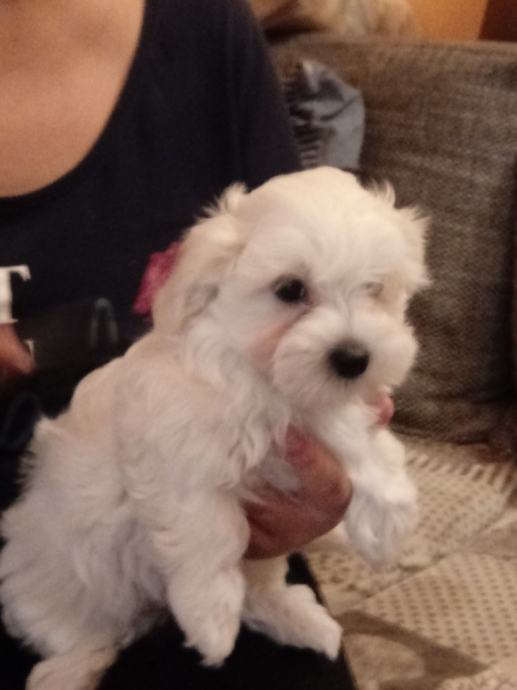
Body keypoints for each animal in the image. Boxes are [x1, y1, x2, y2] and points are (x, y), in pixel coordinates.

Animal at [0, 167, 427, 690]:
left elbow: (371, 454)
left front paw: (387, 528)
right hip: (58, 577)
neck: (268, 381)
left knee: (261, 590)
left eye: (374, 288)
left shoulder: (326, 417)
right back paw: (67, 672)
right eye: (290, 289)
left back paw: (300, 620)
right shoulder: (178, 459)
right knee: (80, 636)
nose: (352, 358)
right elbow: (212, 531)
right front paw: (210, 620)